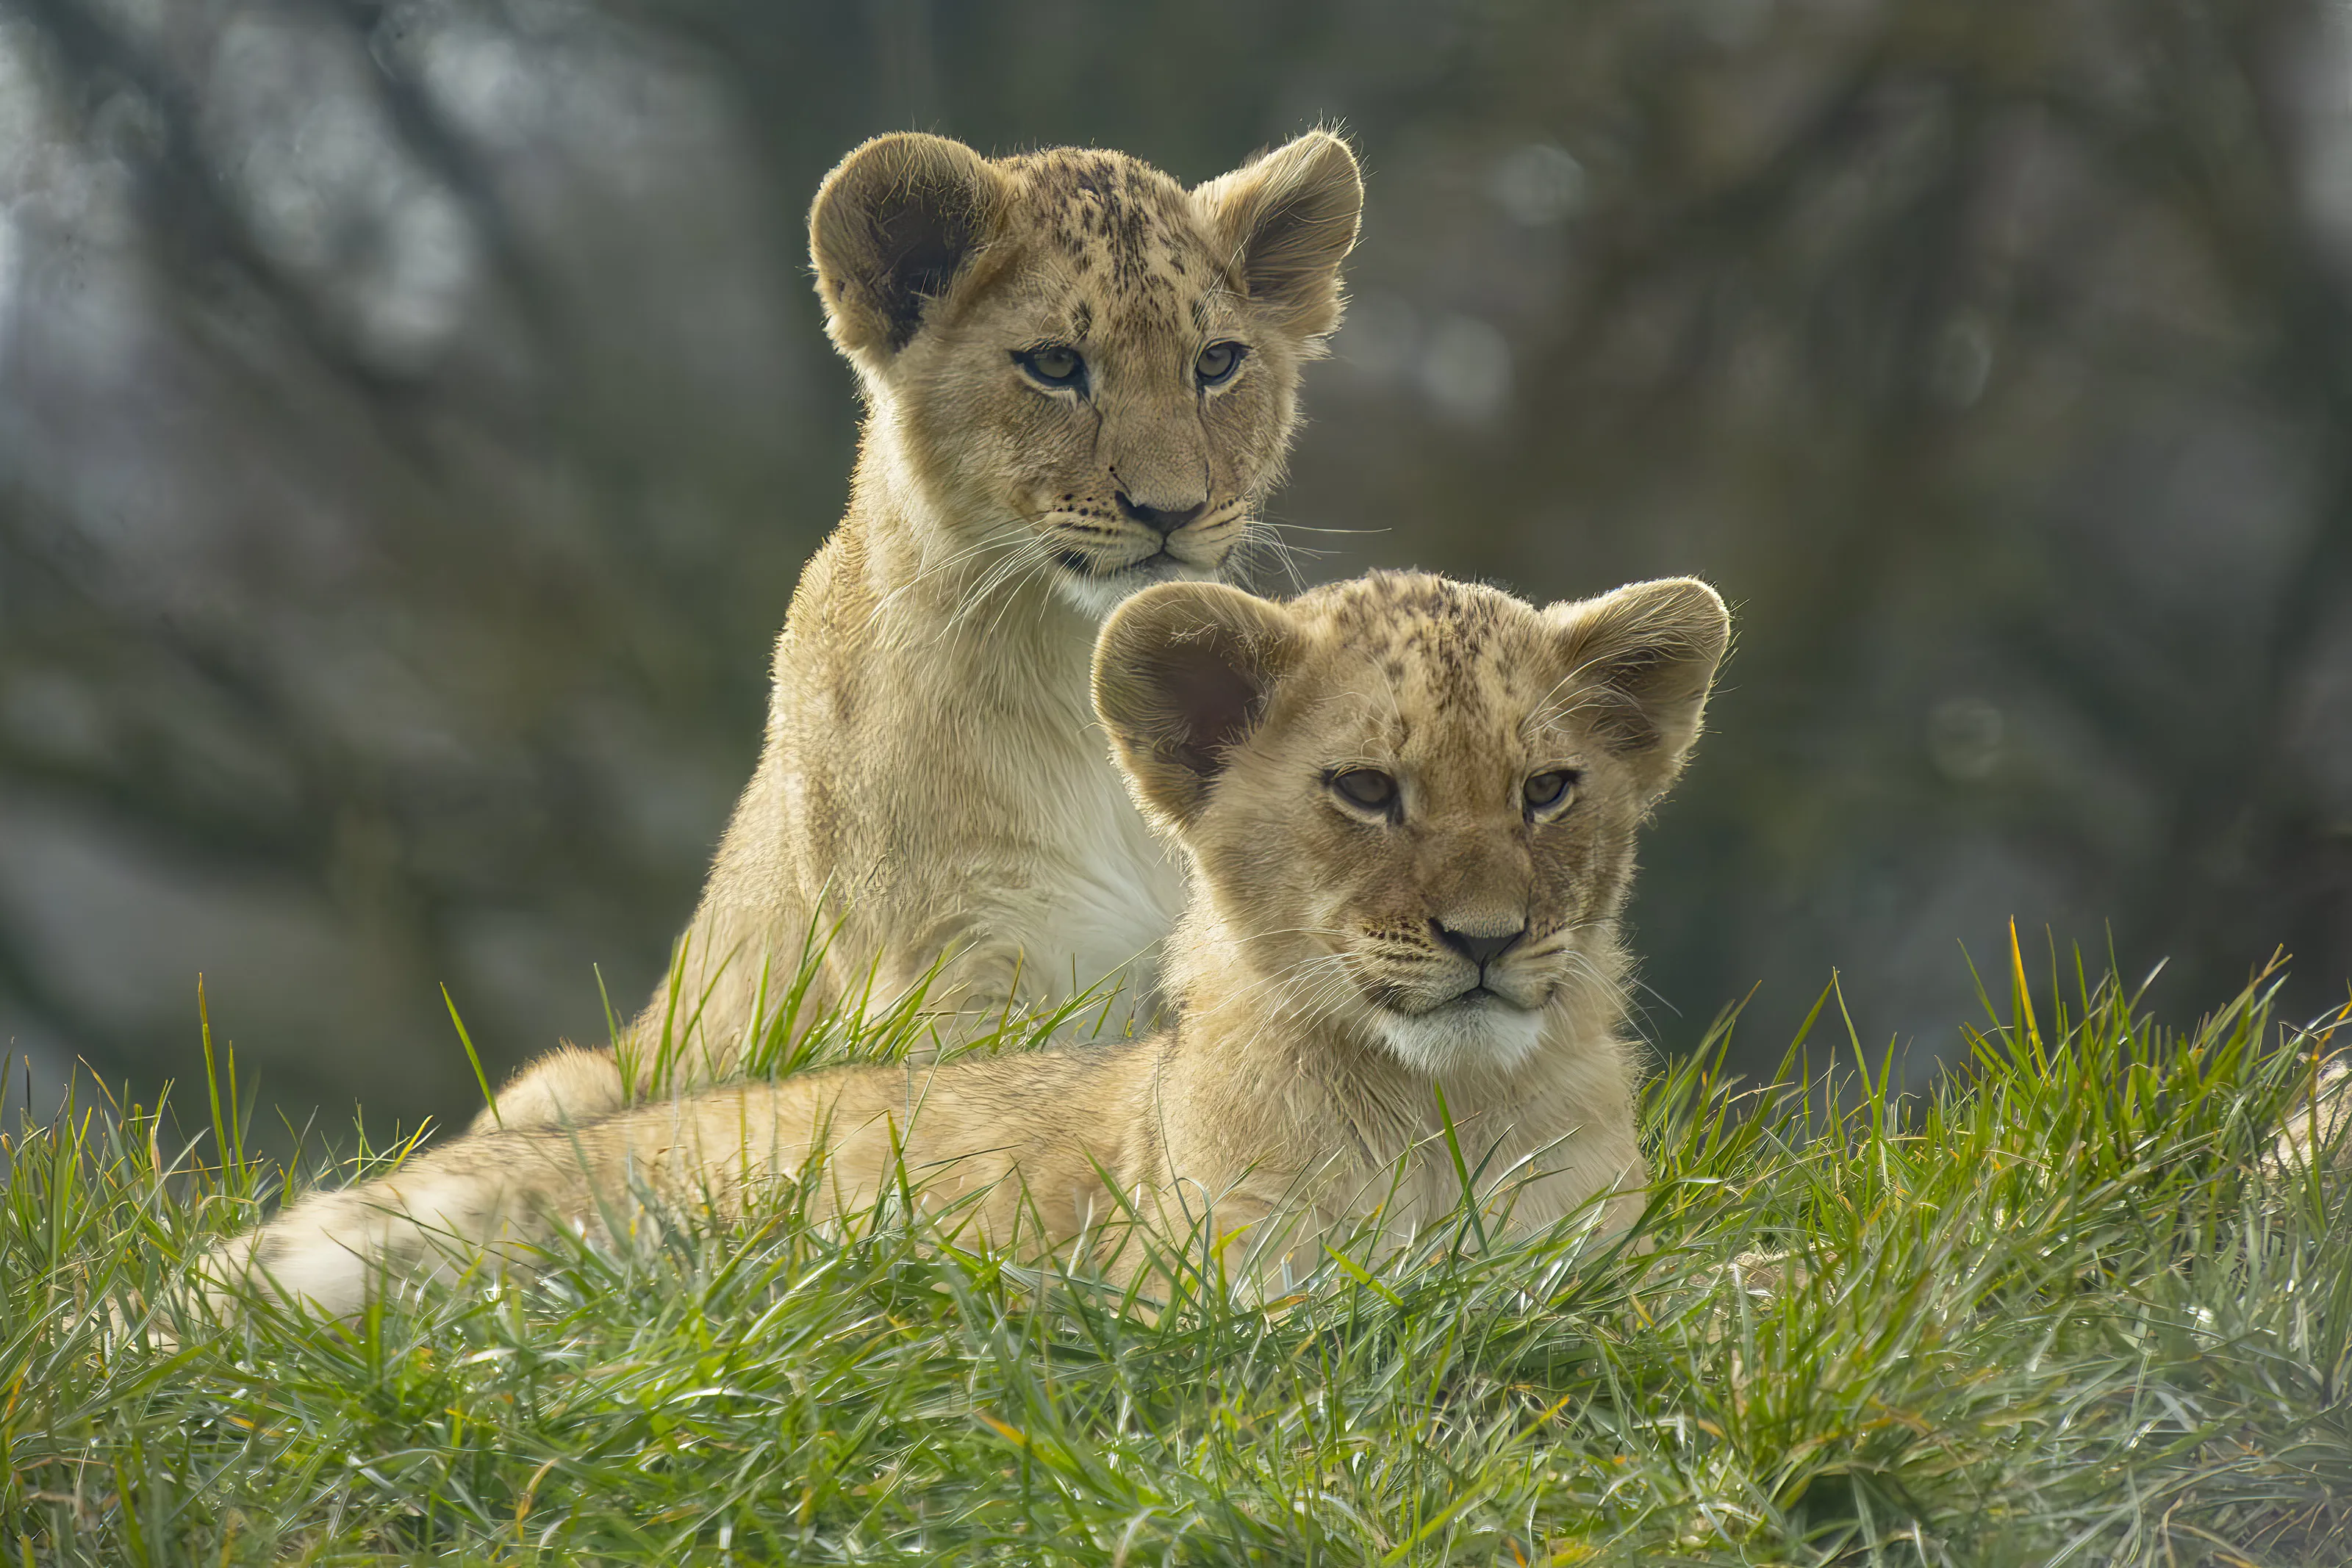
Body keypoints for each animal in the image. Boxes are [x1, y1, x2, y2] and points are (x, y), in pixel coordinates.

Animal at [190, 570, 1731, 1316]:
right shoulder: (1222, 1281)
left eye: (1548, 789)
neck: (1442, 1106)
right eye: (1364, 788)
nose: (1489, 939)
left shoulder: (1589, 1237)